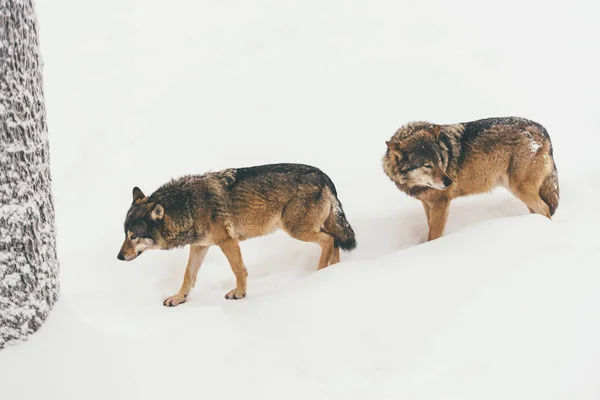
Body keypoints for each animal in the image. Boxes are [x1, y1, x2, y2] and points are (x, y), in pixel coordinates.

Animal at [116, 162, 356, 306]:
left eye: (134, 236)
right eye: (125, 234)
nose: (119, 257)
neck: (188, 207)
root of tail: (324, 176)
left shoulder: (227, 241)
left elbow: (238, 269)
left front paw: (239, 294)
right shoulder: (199, 246)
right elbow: (188, 275)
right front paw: (178, 298)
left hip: (296, 229)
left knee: (329, 240)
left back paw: (319, 273)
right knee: (335, 242)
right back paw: (332, 273)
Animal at [382, 115, 560, 241]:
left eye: (439, 160)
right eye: (427, 165)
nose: (449, 182)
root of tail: (541, 129)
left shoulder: (441, 203)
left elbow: (433, 236)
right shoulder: (427, 203)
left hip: (521, 190)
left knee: (545, 208)